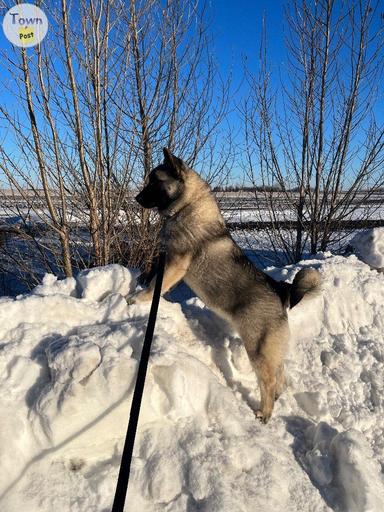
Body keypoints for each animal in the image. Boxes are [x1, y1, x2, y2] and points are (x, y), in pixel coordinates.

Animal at [127, 146, 320, 422]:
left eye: (155, 182)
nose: (136, 198)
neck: (187, 206)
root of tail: (281, 292)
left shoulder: (176, 263)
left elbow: (155, 286)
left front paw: (138, 299)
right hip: (271, 350)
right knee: (280, 376)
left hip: (257, 349)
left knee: (269, 381)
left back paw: (264, 413)